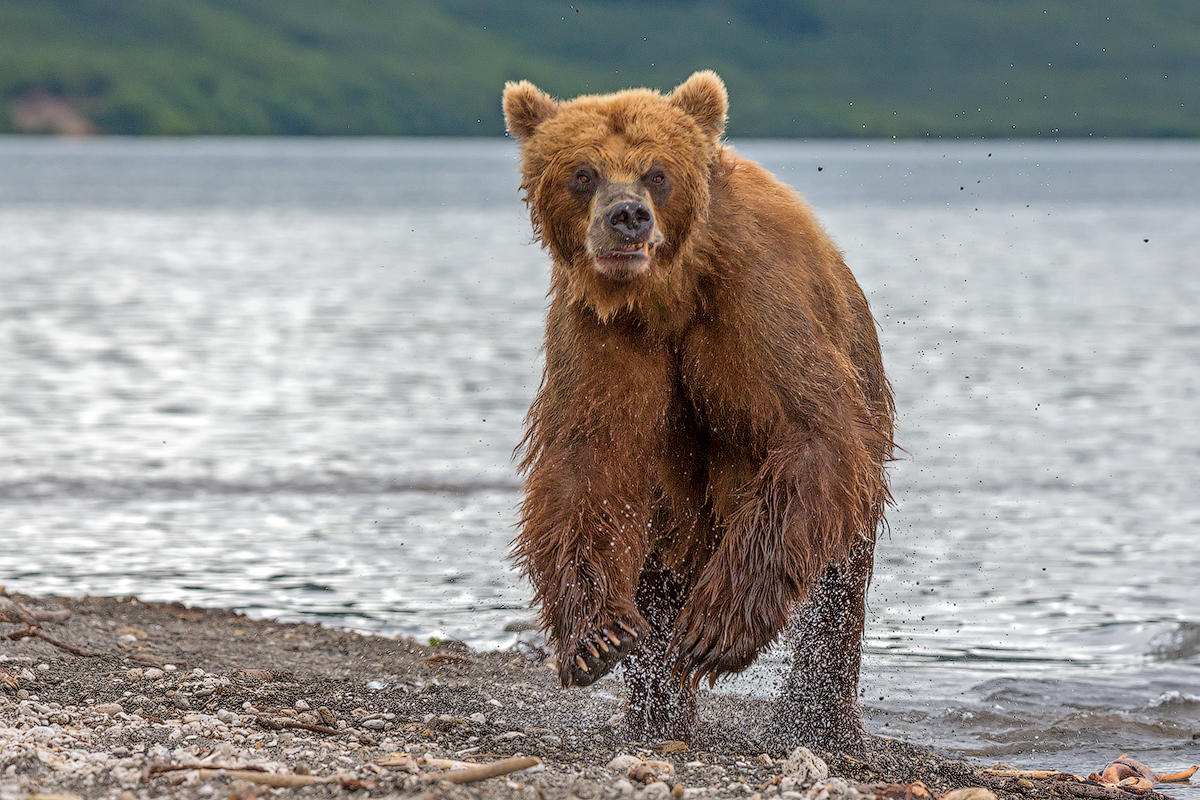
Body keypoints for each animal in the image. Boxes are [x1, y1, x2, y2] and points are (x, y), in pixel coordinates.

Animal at [501, 68, 897, 753]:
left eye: (656, 172)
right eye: (583, 172)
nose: (627, 216)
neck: (668, 291)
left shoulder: (757, 299)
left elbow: (808, 429)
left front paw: (714, 632)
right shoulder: (602, 330)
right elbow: (590, 459)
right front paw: (597, 637)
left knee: (836, 589)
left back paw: (816, 719)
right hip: (672, 513)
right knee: (656, 570)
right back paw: (656, 712)